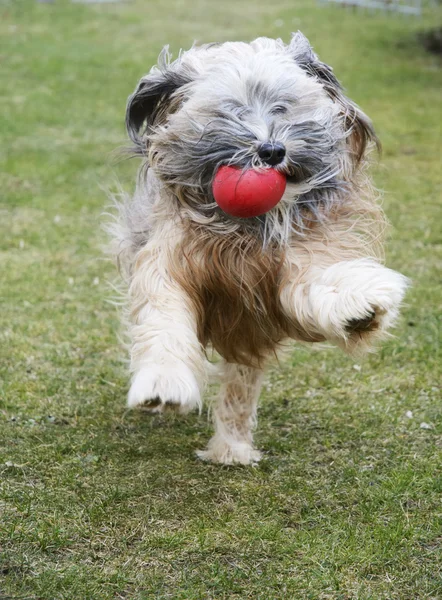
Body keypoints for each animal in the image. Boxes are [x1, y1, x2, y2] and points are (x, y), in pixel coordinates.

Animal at [109, 31, 408, 464]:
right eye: (230, 111)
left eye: (282, 106)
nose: (271, 151)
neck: (246, 230)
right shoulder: (168, 259)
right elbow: (164, 316)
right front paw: (163, 382)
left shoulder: (293, 263)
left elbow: (321, 281)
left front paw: (358, 307)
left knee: (240, 384)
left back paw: (231, 448)